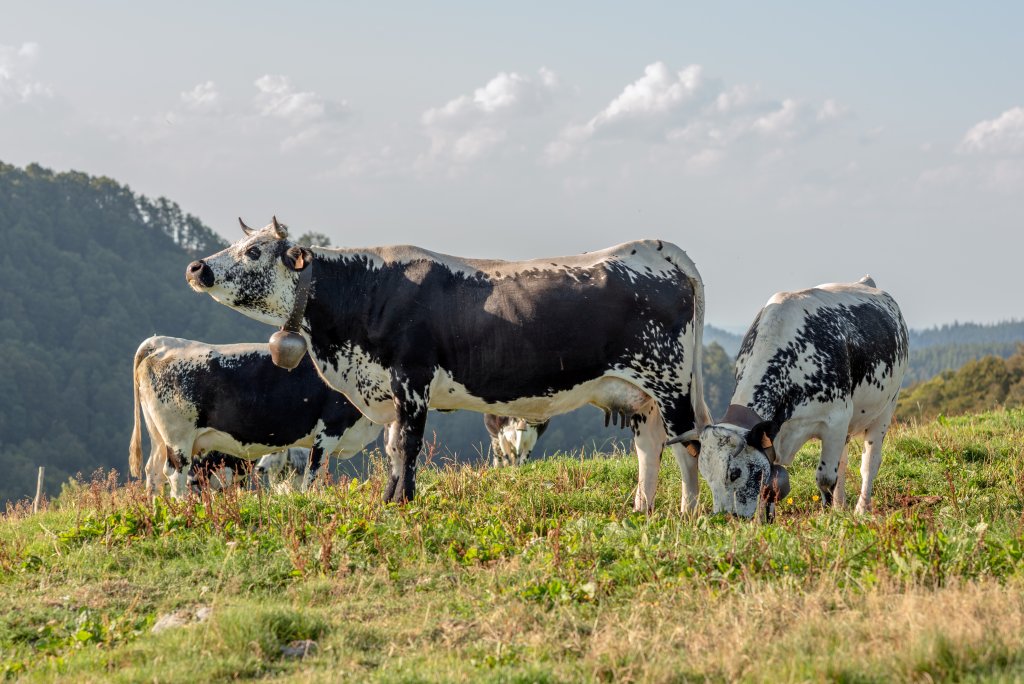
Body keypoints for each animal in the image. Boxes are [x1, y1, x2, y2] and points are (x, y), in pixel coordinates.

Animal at [129, 335, 384, 498]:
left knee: (153, 473)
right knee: (175, 475)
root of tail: (163, 342)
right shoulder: (329, 428)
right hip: (178, 437)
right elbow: (313, 476)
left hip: (159, 436)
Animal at [185, 217, 711, 511]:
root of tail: (660, 249)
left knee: (688, 444)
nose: (197, 267)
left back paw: (689, 512)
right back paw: (642, 507)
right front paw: (389, 499)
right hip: (638, 393)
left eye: (254, 251)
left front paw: (403, 502)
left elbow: (406, 446)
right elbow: (393, 447)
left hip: (670, 381)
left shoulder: (411, 380)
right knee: (649, 447)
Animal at [671, 276, 908, 519]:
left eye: (735, 473)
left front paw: (826, 516)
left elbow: (825, 479)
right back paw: (840, 505)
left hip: (886, 409)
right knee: (842, 462)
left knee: (869, 463)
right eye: (705, 474)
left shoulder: (835, 421)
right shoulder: (777, 432)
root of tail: (866, 283)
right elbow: (771, 482)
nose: (725, 517)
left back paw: (861, 508)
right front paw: (766, 519)